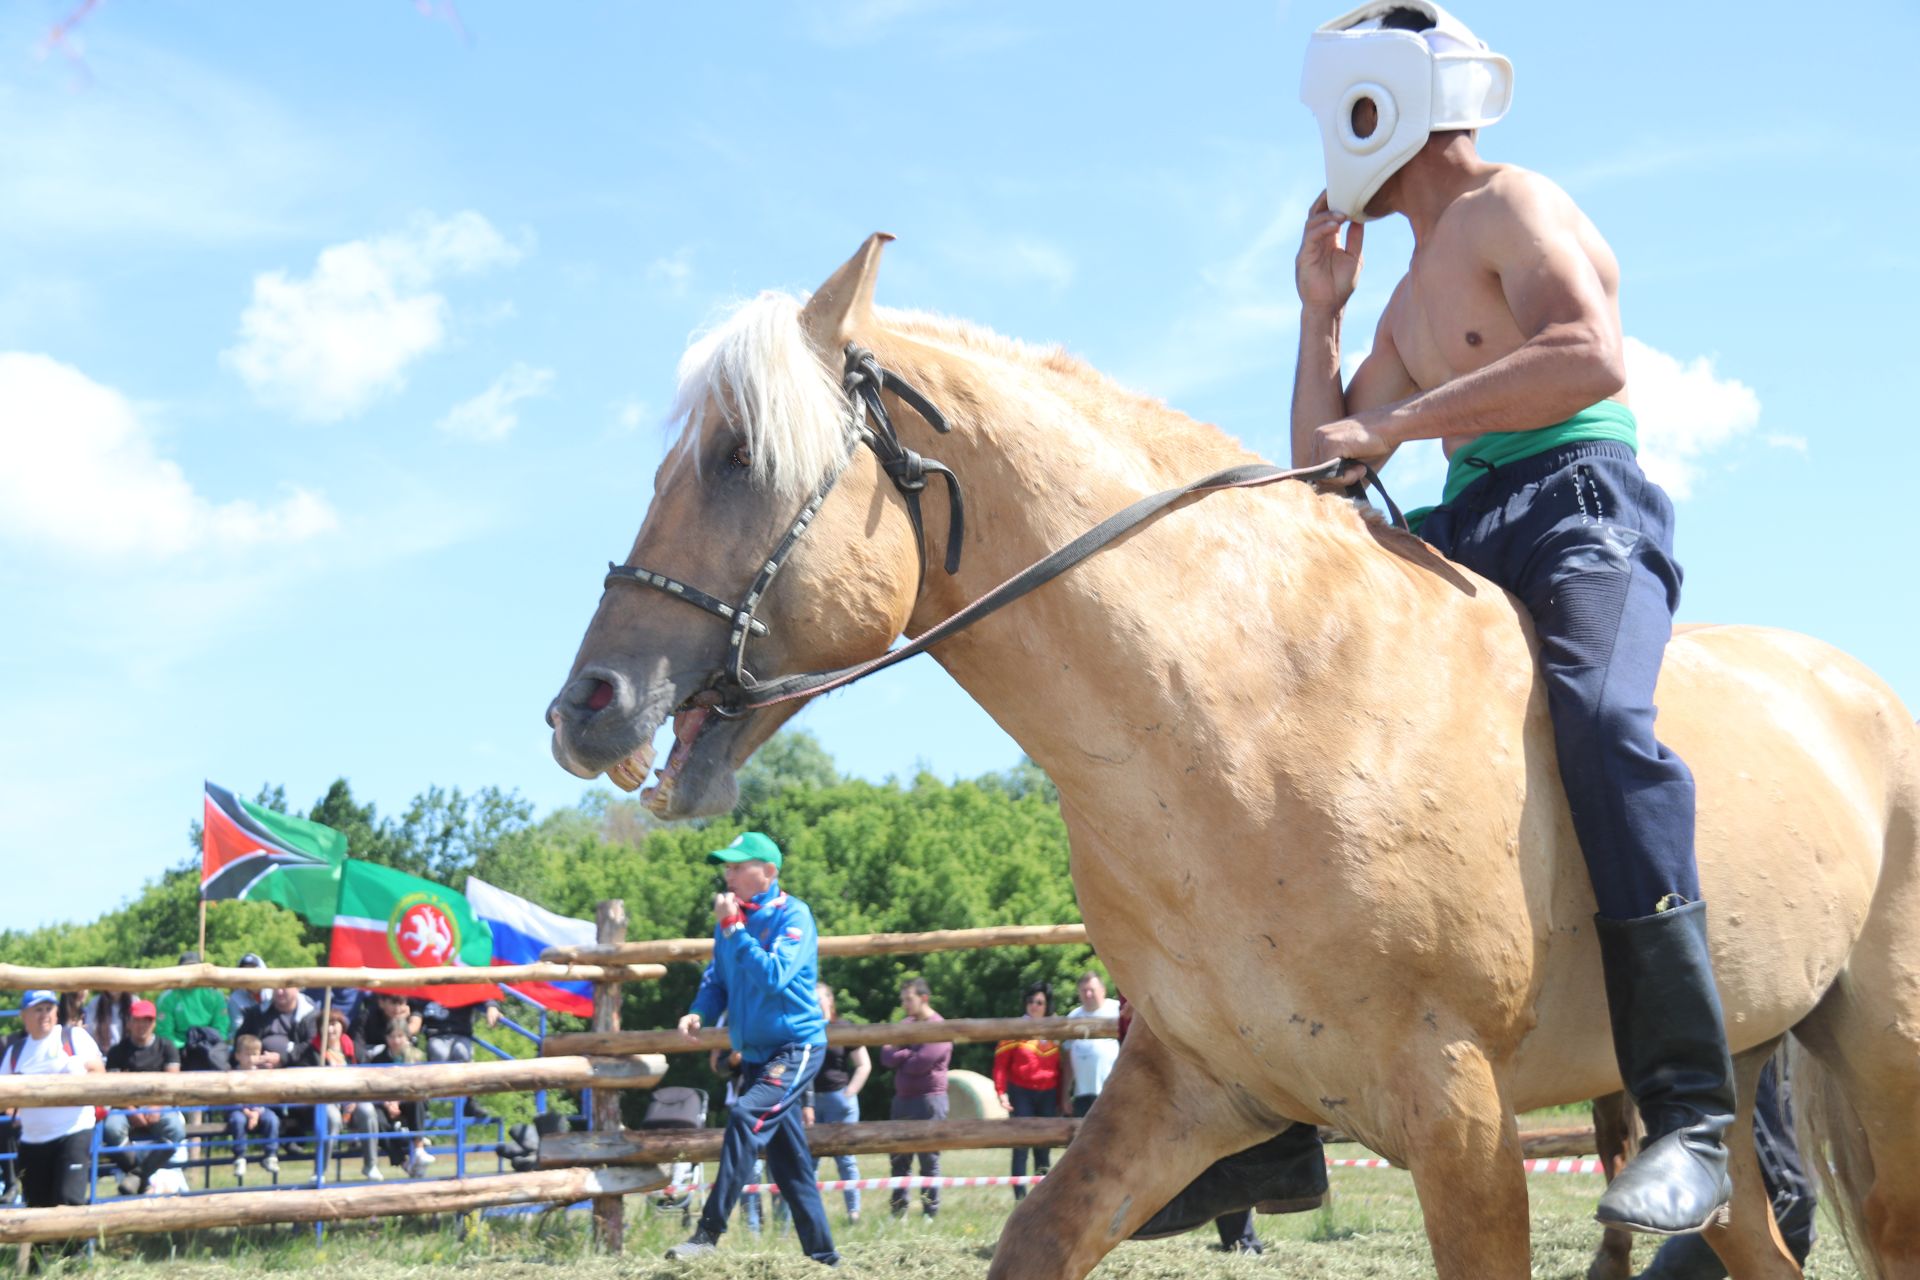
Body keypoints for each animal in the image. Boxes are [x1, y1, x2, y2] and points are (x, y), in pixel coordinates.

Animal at [549, 235, 1920, 1274]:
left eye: (740, 456)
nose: (585, 704)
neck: (1255, 715)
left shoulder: (1462, 1113)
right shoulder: (1188, 1085)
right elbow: (1036, 1237)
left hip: (1882, 1068)